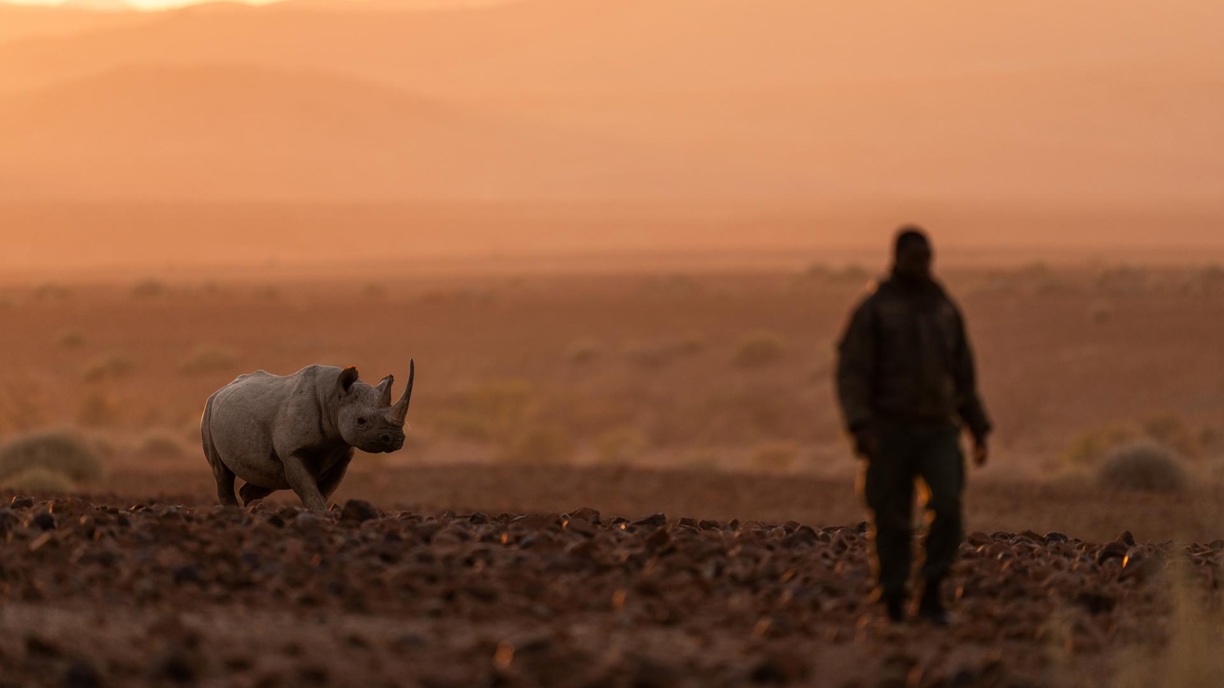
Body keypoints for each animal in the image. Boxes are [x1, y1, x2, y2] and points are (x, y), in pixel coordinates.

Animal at [201, 362, 414, 512]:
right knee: (221, 472)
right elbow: (310, 490)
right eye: (361, 421)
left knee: (268, 474)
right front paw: (322, 516)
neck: (334, 400)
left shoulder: (341, 453)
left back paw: (250, 500)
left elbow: (323, 491)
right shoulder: (293, 452)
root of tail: (221, 389)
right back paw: (233, 510)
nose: (396, 439)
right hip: (209, 409)